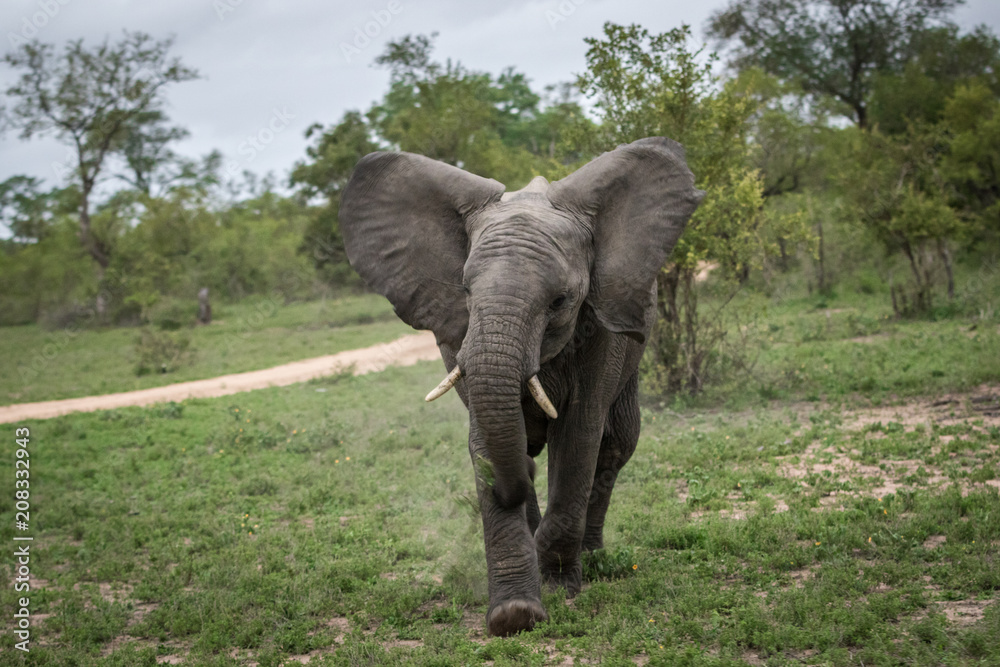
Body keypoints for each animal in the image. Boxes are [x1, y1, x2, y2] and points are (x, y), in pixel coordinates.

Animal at [339, 137, 704, 636]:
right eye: (466, 292)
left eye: (561, 301)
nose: (516, 480)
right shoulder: (457, 339)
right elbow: (484, 442)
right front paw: (515, 615)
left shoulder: (600, 334)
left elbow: (578, 439)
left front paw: (558, 583)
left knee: (616, 444)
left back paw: (591, 557)